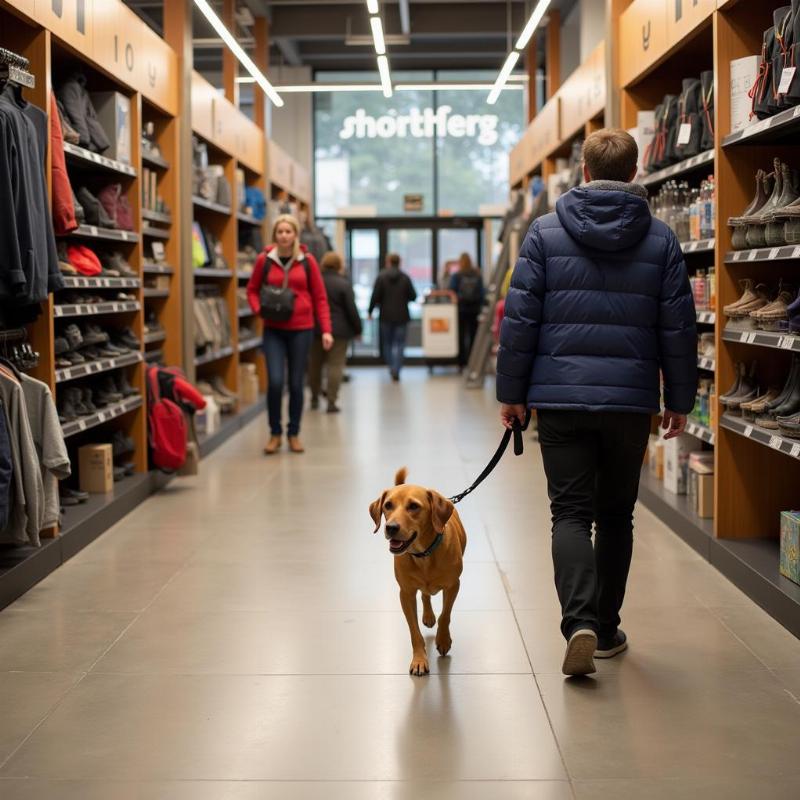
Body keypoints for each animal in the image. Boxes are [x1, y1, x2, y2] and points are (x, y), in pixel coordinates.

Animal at [370, 468, 466, 676]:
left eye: (414, 506)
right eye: (388, 505)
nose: (391, 527)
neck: (424, 554)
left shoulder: (453, 585)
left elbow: (445, 615)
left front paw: (443, 639)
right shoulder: (406, 593)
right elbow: (414, 631)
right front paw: (420, 660)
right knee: (425, 594)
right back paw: (428, 615)